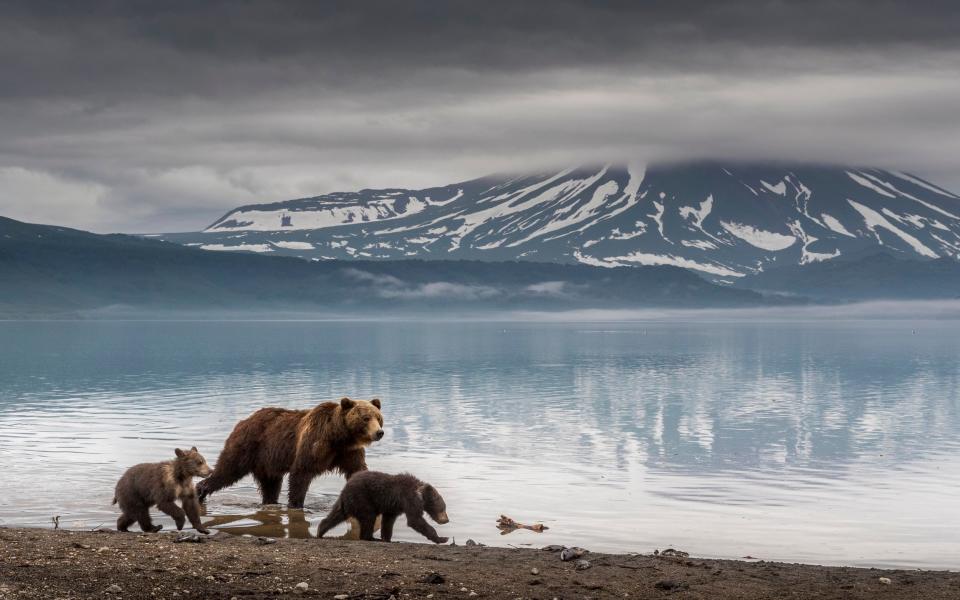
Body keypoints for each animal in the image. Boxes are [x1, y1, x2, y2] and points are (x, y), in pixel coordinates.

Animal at [195, 396, 382, 508]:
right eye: (365, 418)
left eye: (378, 417)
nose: (379, 432)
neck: (338, 436)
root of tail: (243, 421)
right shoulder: (314, 444)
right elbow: (301, 473)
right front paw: (296, 504)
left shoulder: (348, 452)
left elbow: (357, 470)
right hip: (247, 446)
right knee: (227, 470)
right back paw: (200, 491)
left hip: (266, 462)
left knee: (271, 485)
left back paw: (271, 502)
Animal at [316, 474, 450, 544]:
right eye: (443, 508)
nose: (447, 520)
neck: (419, 494)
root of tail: (345, 489)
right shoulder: (408, 499)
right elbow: (415, 520)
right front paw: (442, 538)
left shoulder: (393, 507)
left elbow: (388, 522)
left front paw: (387, 538)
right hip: (363, 499)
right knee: (368, 518)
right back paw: (370, 537)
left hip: (347, 503)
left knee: (336, 515)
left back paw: (320, 531)